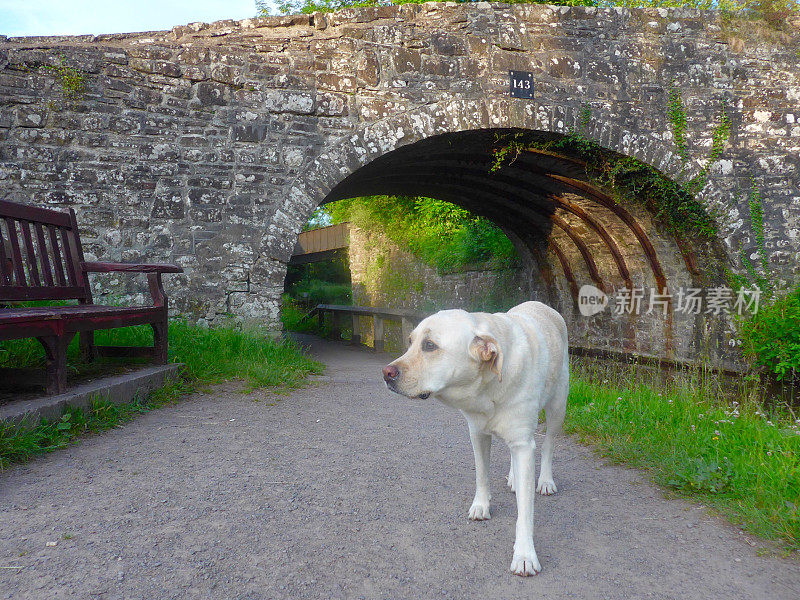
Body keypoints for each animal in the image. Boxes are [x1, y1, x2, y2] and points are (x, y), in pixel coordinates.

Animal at [382, 302, 564, 576]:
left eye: (430, 345)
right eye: (411, 342)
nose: (386, 373)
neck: (488, 387)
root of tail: (541, 305)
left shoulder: (523, 444)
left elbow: (525, 512)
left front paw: (524, 554)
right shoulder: (477, 433)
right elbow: (482, 474)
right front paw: (481, 505)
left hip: (557, 408)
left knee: (549, 445)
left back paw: (544, 481)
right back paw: (514, 478)